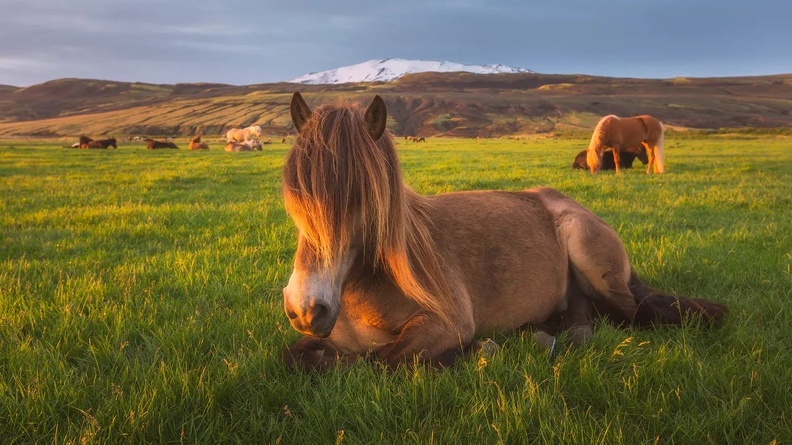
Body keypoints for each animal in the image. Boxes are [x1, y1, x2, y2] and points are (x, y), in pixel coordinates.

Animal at [280, 92, 728, 371]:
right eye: (294, 195)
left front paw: (479, 351)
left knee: (632, 314)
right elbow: (298, 356)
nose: (306, 308)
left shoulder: (446, 323)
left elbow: (383, 360)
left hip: (590, 256)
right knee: (581, 317)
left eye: (364, 198)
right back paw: (545, 333)